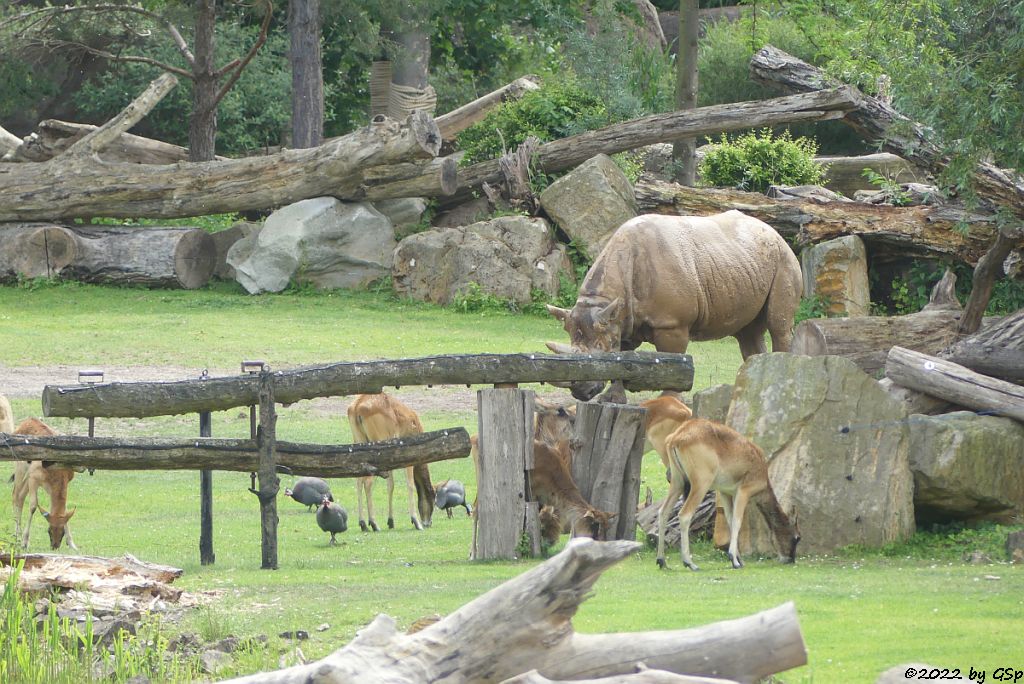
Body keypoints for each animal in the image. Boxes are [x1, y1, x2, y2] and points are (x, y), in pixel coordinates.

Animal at [9, 417, 79, 548]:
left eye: (62, 531)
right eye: (49, 530)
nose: (55, 546)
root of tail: (28, 420)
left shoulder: (52, 487)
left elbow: (65, 509)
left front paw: (72, 543)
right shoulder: (34, 479)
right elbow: (33, 506)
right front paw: (25, 541)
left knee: (20, 497)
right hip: (21, 469)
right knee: (15, 496)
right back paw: (17, 535)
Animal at [348, 393, 436, 532]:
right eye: (432, 497)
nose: (428, 523)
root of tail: (358, 404)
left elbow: (390, 485)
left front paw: (390, 521)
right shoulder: (408, 460)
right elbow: (409, 485)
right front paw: (416, 521)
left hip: (359, 443)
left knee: (359, 481)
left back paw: (363, 523)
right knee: (367, 482)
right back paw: (373, 523)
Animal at [655, 417, 798, 573]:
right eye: (797, 538)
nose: (791, 559)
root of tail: (676, 437)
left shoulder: (725, 492)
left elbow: (729, 520)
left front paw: (739, 559)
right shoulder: (744, 491)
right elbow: (737, 521)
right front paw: (734, 560)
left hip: (677, 483)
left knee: (663, 512)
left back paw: (662, 561)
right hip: (700, 485)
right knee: (685, 515)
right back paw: (690, 563)